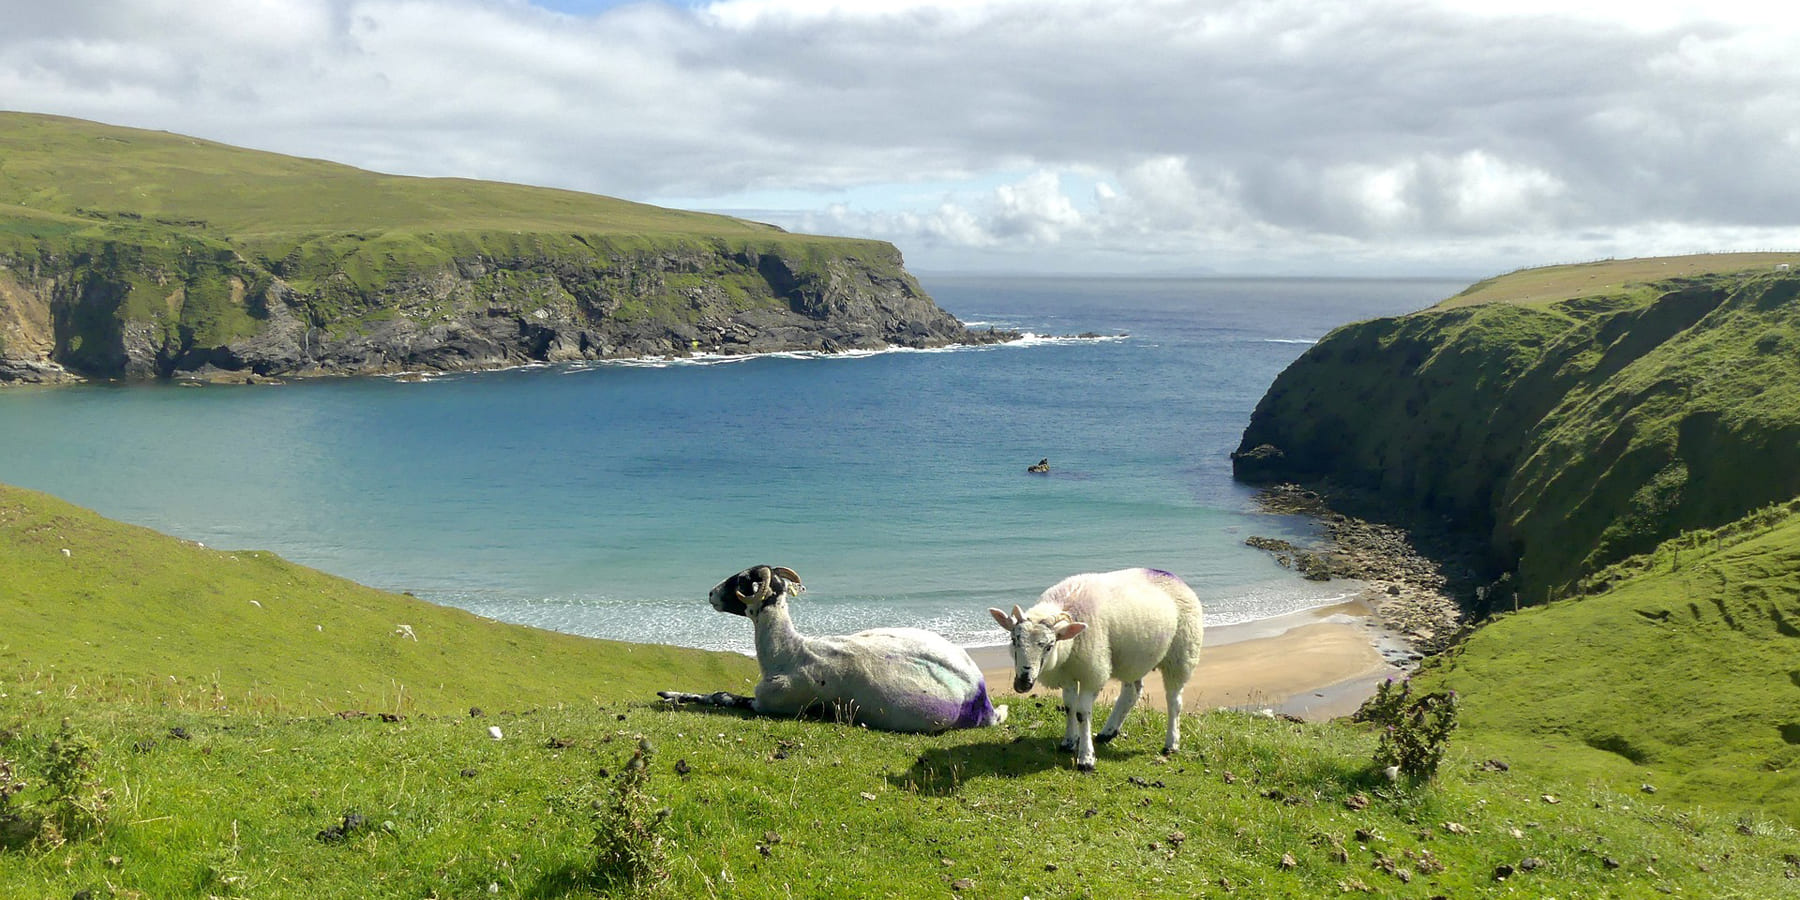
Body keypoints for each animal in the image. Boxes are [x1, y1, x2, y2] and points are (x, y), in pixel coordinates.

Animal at [662, 565, 1008, 734]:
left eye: (743, 580)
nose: (710, 593)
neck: (788, 652)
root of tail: (982, 700)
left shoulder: (770, 703)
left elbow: (721, 695)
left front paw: (670, 695)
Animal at [993, 568, 1202, 774]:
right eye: (1014, 639)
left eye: (1049, 646)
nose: (1023, 683)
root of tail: (1172, 576)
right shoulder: (1067, 674)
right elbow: (1069, 707)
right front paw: (1069, 742)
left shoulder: (1092, 674)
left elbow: (1082, 713)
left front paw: (1086, 758)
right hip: (1132, 658)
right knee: (1132, 692)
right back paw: (1107, 733)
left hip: (1181, 654)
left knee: (1174, 701)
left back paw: (1171, 743)